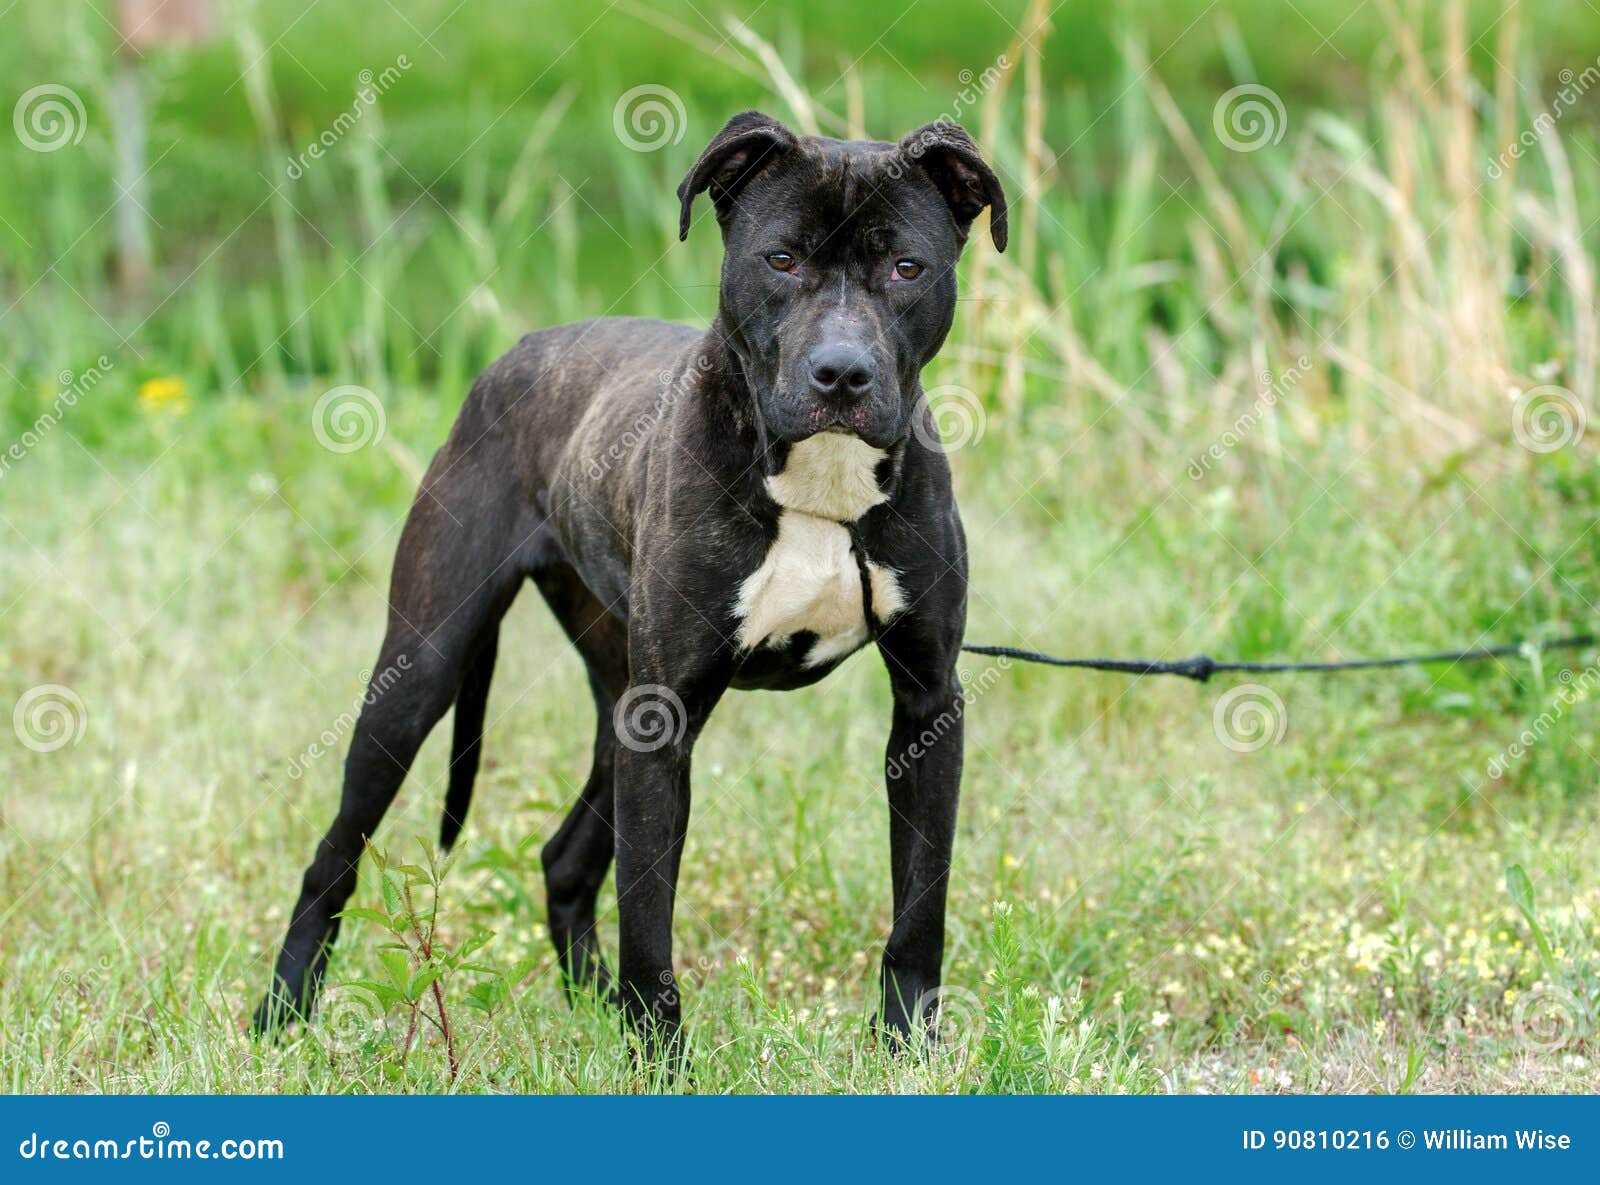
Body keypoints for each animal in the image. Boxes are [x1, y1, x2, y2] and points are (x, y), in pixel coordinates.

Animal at [254, 108, 1004, 1055]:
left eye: (907, 268)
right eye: (781, 259)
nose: (841, 373)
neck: (818, 483)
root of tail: (517, 352)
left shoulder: (927, 701)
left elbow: (919, 904)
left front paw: (909, 1044)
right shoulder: (663, 718)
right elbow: (648, 911)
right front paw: (660, 1056)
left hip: (612, 699)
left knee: (564, 857)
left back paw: (590, 1002)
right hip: (420, 674)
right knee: (335, 852)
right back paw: (282, 1009)